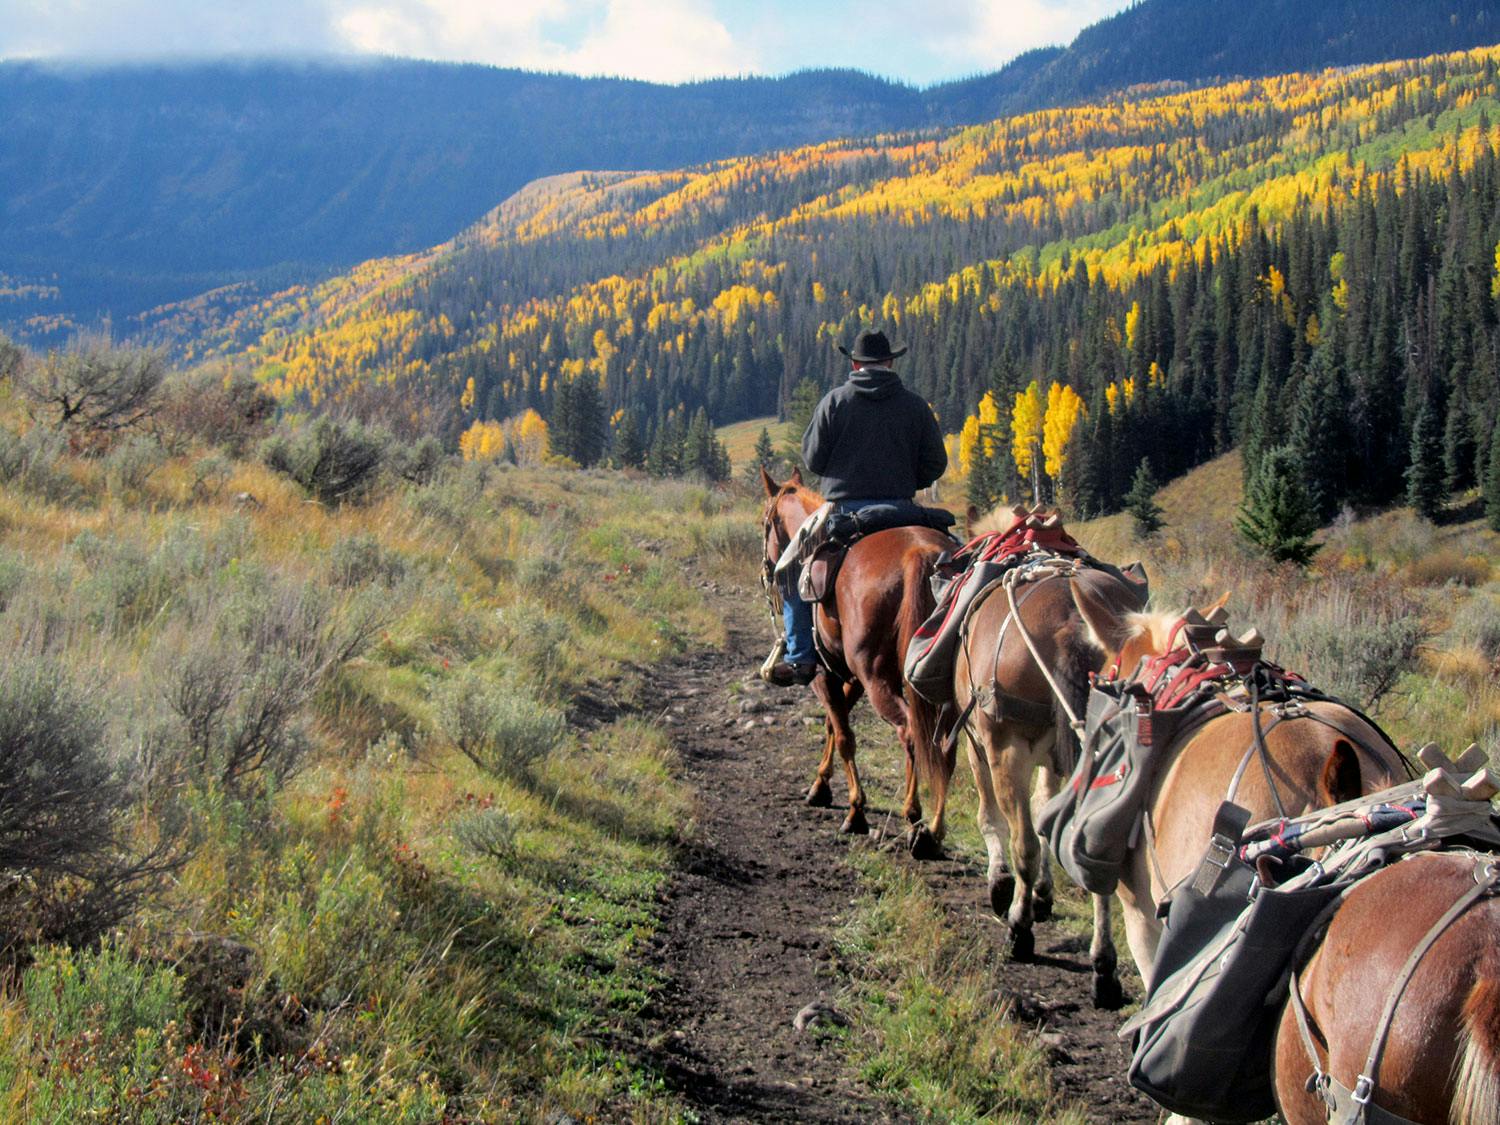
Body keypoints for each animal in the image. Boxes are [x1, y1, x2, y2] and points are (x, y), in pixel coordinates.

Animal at [756, 468, 954, 846]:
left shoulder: (824, 675)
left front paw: (855, 810)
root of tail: (919, 553)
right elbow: (834, 725)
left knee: (910, 732)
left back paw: (913, 816)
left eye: (764, 523)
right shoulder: (849, 678)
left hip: (877, 678)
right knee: (943, 743)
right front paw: (820, 787)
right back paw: (934, 830)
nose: (766, 572)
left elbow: (845, 735)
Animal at [924, 507, 1146, 1002]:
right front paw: (1044, 893)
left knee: (1021, 839)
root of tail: (1070, 620)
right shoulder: (1056, 756)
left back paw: (1019, 930)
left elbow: (995, 818)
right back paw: (1104, 968)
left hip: (1004, 748)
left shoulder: (980, 743)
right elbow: (1048, 811)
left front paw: (1002, 885)